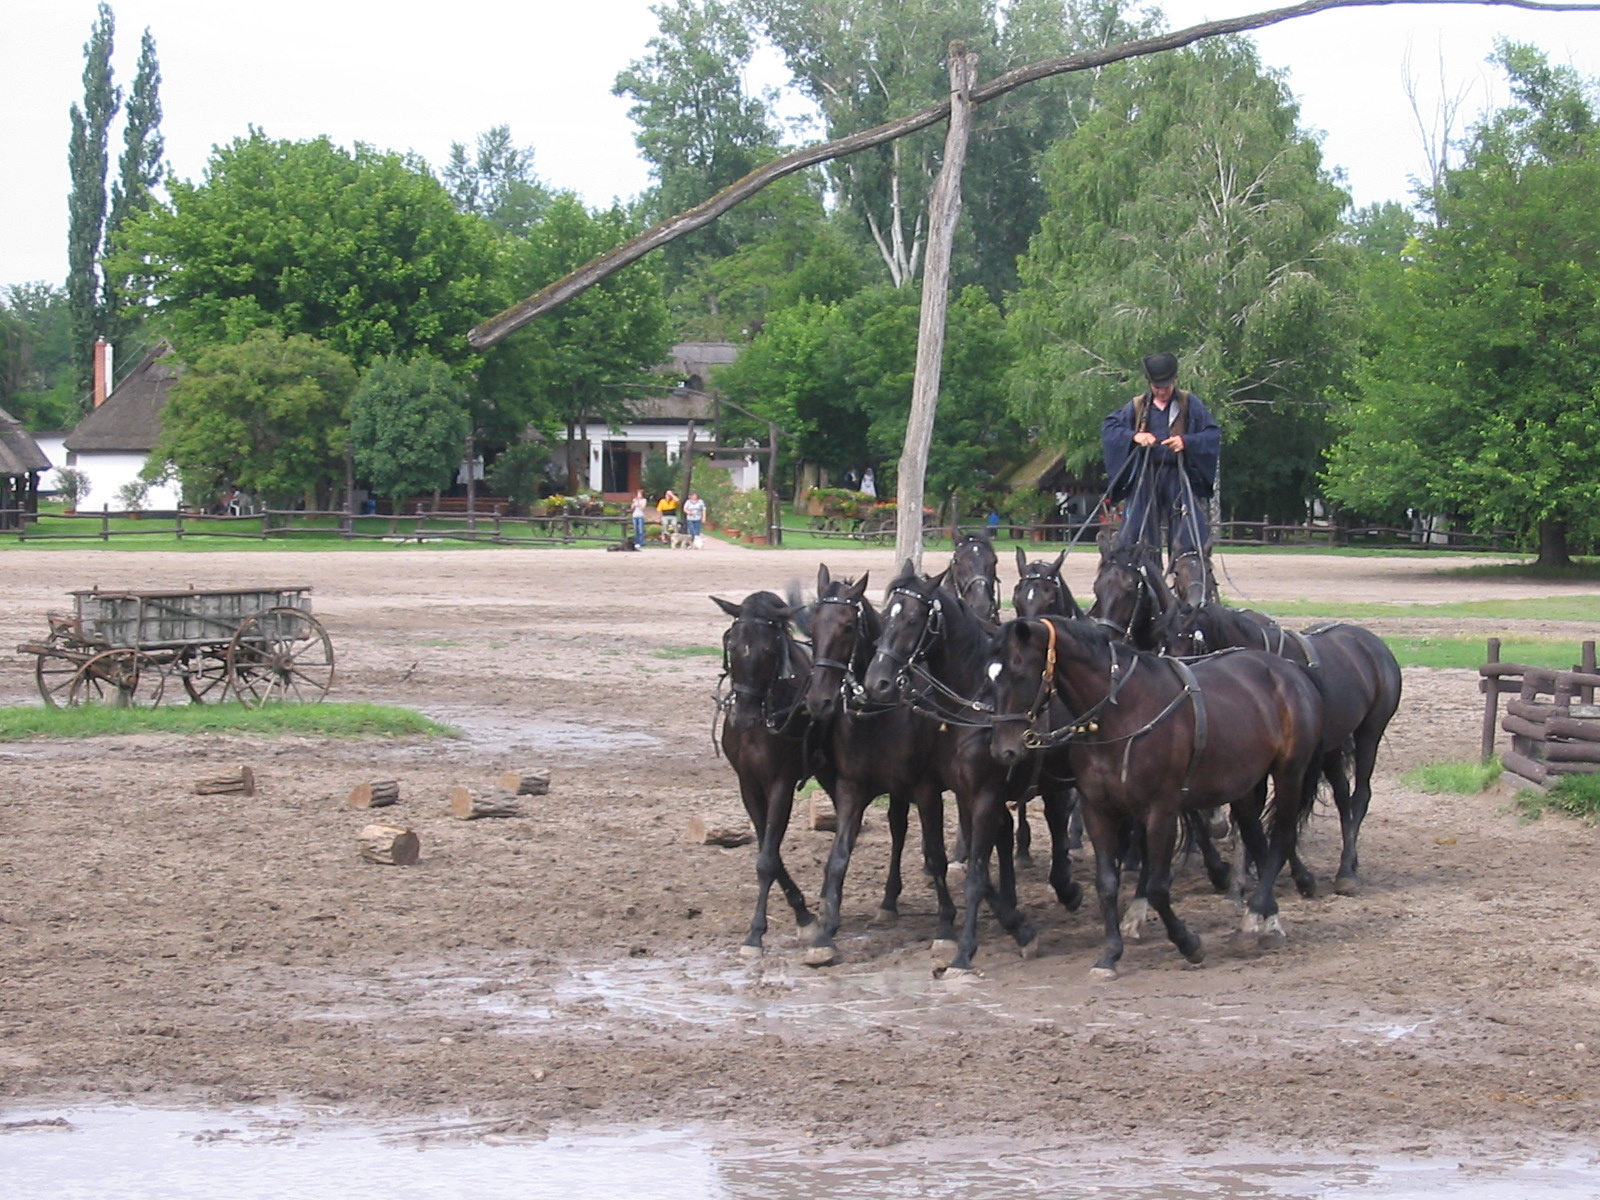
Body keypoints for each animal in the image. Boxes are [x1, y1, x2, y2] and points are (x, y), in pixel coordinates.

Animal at [716, 588, 832, 960]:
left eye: (768, 649)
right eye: (732, 643)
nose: (743, 717)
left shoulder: (781, 783)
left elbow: (768, 858)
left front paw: (755, 934)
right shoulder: (748, 785)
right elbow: (769, 851)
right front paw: (804, 914)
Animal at [800, 563, 960, 966]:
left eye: (847, 627)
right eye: (812, 625)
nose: (819, 701)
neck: (878, 711)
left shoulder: (927, 789)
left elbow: (936, 853)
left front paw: (947, 927)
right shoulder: (851, 789)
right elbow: (839, 856)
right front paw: (825, 933)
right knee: (898, 828)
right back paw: (889, 901)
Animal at [857, 566, 1081, 979]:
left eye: (912, 619)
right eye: (885, 616)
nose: (876, 680)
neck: (978, 706)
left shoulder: (987, 794)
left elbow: (977, 876)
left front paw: (964, 952)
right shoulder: (963, 794)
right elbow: (971, 865)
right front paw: (1019, 928)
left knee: (1062, 823)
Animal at [985, 620, 1324, 979]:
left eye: (1020, 673)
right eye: (990, 676)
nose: (1003, 750)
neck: (1122, 713)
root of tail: (1290, 671)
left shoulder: (1161, 810)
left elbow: (1159, 887)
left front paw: (1189, 943)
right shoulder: (1097, 810)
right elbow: (1107, 885)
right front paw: (1109, 955)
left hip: (1289, 773)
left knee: (1280, 839)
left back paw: (1252, 922)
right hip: (1245, 785)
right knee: (1257, 840)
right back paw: (1266, 920)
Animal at [1152, 604, 1401, 896]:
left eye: (1190, 638)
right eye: (1162, 639)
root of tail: (1373, 644)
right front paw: (1243, 873)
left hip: (1369, 733)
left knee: (1360, 796)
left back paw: (1346, 872)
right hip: (1332, 746)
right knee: (1342, 796)